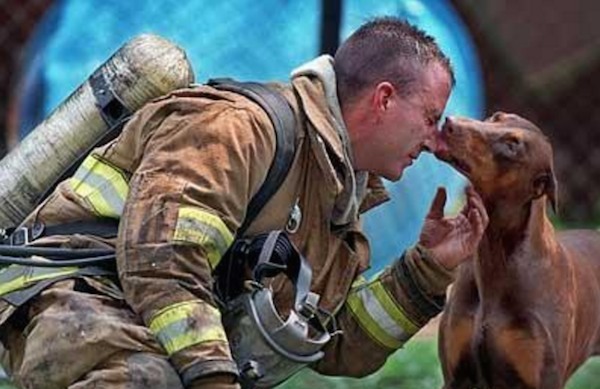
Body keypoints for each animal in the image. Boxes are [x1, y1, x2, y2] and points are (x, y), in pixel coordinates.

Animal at [434, 111, 600, 388]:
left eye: (512, 145)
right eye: (495, 117)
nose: (450, 122)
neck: (495, 255)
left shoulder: (542, 378)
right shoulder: (456, 377)